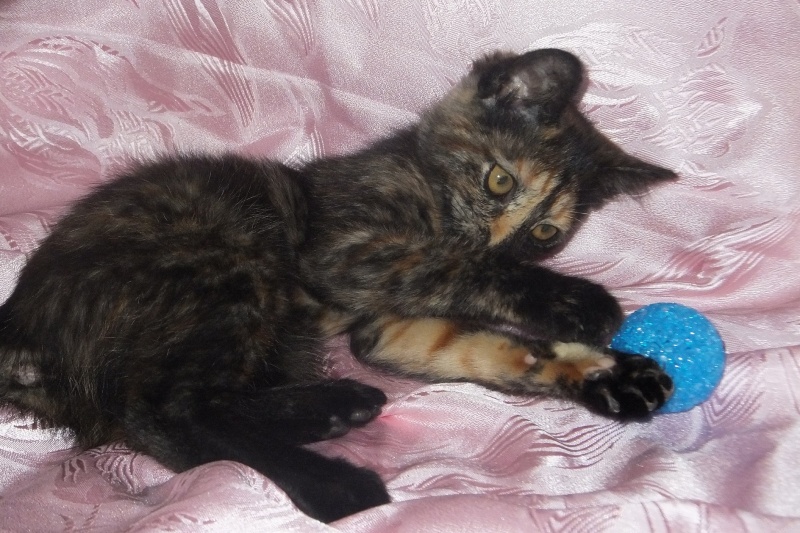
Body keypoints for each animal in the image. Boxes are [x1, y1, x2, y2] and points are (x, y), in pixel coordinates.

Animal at [0, 49, 676, 522]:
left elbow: (490, 346)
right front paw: (572, 300)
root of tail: (24, 331)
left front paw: (608, 373)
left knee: (177, 413)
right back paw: (332, 481)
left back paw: (330, 408)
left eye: (545, 233)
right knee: (171, 412)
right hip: (233, 252)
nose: (501, 242)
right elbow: (460, 267)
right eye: (500, 181)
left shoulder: (387, 327)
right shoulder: (343, 250)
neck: (423, 184)